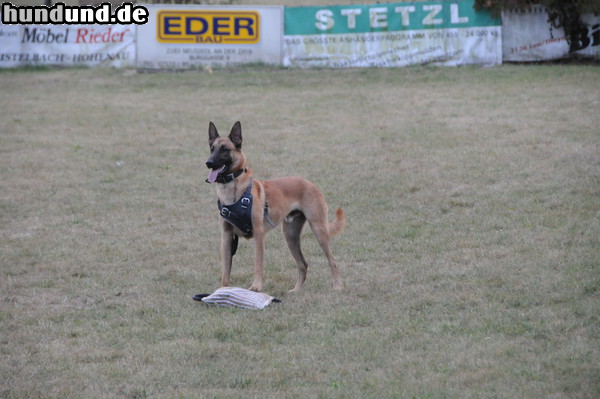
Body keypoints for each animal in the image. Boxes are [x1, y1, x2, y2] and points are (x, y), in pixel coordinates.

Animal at [206, 120, 346, 292]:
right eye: (212, 148)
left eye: (225, 149)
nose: (208, 163)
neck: (234, 193)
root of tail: (310, 183)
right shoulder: (226, 236)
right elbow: (226, 270)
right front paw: (222, 290)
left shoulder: (258, 234)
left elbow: (258, 263)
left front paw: (256, 287)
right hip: (290, 236)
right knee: (303, 264)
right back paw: (296, 291)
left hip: (319, 231)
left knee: (332, 260)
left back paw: (338, 286)